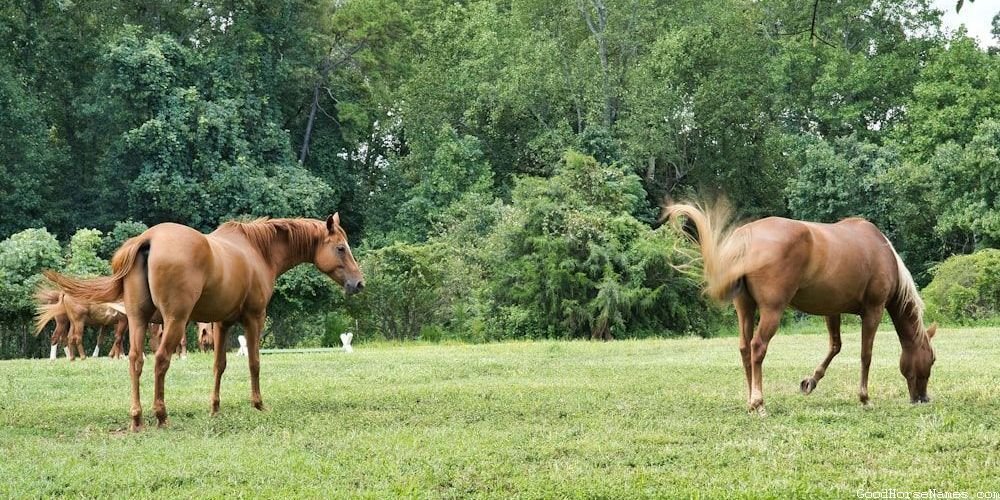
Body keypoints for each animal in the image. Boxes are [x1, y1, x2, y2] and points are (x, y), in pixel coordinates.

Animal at [45, 213, 364, 432]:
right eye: (340, 248)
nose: (359, 283)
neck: (257, 251)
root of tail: (149, 239)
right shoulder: (254, 318)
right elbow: (254, 363)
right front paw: (258, 404)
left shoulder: (222, 324)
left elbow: (219, 365)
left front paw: (215, 408)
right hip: (173, 321)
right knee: (160, 360)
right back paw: (161, 415)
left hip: (137, 320)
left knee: (136, 360)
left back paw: (137, 418)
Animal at [664, 201, 936, 416]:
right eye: (932, 359)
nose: (923, 399)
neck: (881, 251)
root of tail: (747, 235)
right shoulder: (874, 310)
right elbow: (865, 355)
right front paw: (864, 398)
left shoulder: (832, 311)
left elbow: (835, 346)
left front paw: (810, 382)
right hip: (772, 311)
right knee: (757, 347)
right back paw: (759, 402)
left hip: (745, 307)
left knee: (744, 348)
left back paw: (750, 400)